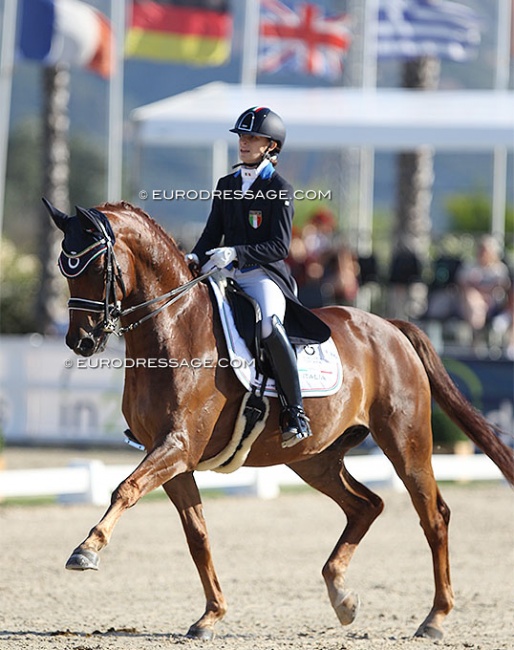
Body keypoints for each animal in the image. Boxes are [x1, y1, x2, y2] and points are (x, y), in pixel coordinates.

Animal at [45, 200, 512, 640]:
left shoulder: (177, 445)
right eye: (65, 268)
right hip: (315, 458)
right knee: (366, 505)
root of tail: (390, 327)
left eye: (95, 267)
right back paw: (341, 595)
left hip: (405, 443)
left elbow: (125, 489)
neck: (174, 329)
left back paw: (434, 618)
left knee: (434, 516)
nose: (80, 341)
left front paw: (86, 550)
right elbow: (197, 535)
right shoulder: (174, 459)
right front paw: (211, 616)